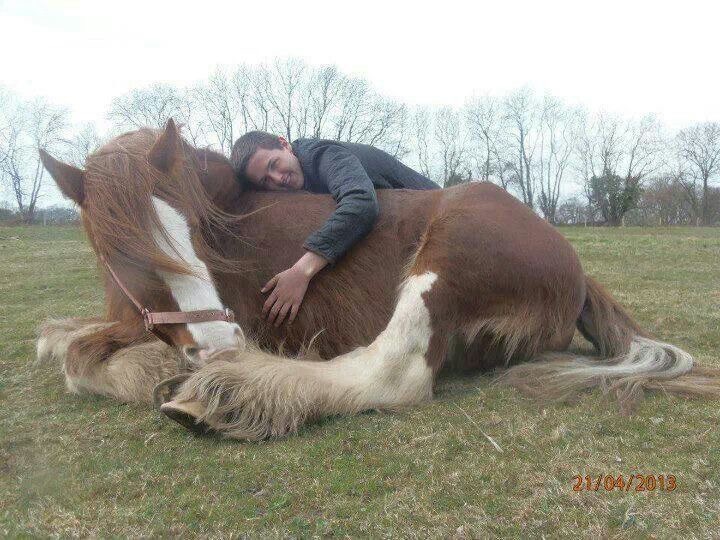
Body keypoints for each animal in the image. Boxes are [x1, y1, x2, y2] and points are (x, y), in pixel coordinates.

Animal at [36, 119, 719, 440]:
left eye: (201, 230)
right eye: (122, 255)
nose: (223, 343)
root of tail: (573, 264)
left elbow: (75, 357)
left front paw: (155, 370)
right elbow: (63, 339)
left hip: (450, 248)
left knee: (394, 373)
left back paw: (232, 392)